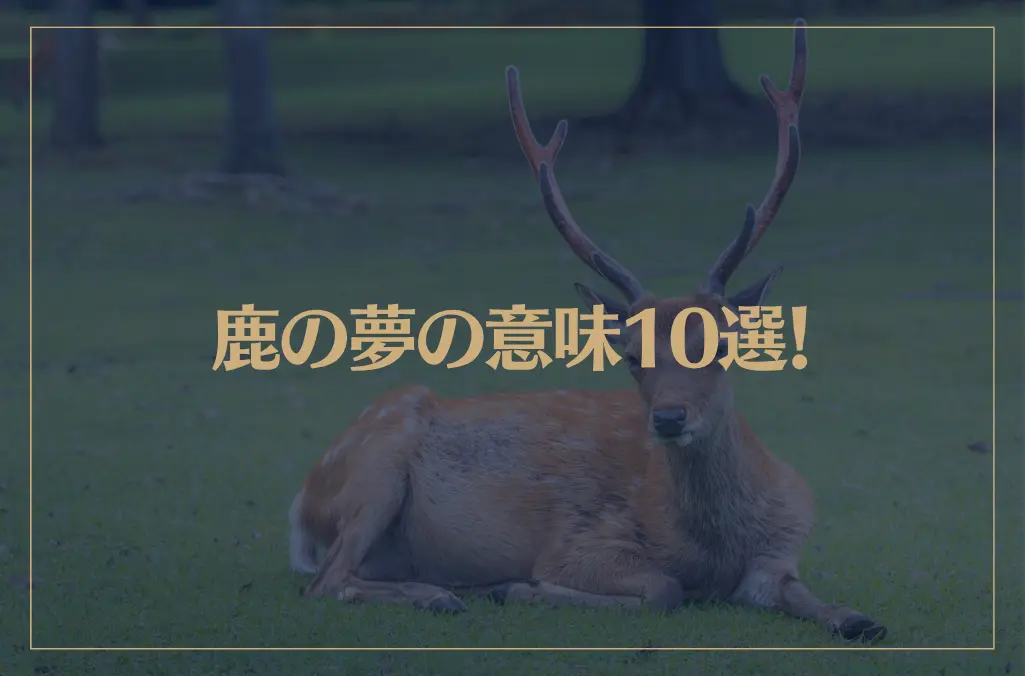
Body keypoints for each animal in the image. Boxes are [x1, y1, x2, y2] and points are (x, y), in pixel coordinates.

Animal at [291, 19, 887, 644]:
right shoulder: (579, 542)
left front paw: (858, 618)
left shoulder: (782, 546)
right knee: (327, 581)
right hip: (374, 468)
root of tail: (301, 504)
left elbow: (820, 603)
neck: (716, 551)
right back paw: (443, 595)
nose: (669, 418)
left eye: (722, 346)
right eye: (630, 355)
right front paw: (517, 588)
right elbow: (662, 590)